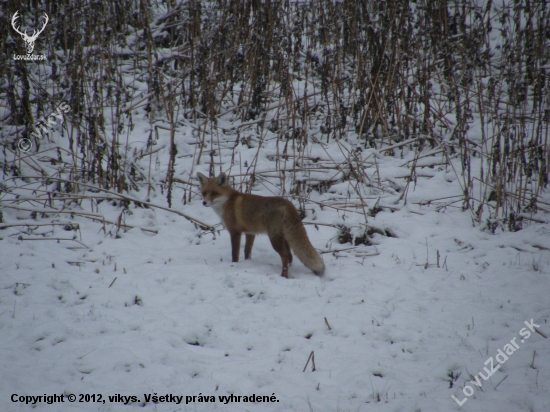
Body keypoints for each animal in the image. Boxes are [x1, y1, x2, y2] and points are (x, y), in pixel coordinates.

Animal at [198, 172, 326, 278]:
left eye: (214, 193)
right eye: (204, 193)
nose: (204, 202)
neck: (228, 202)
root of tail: (288, 204)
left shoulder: (235, 232)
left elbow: (235, 254)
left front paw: (234, 265)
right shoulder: (250, 233)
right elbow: (247, 252)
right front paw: (247, 263)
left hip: (274, 239)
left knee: (285, 256)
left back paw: (284, 275)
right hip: (284, 238)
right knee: (290, 256)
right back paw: (289, 270)